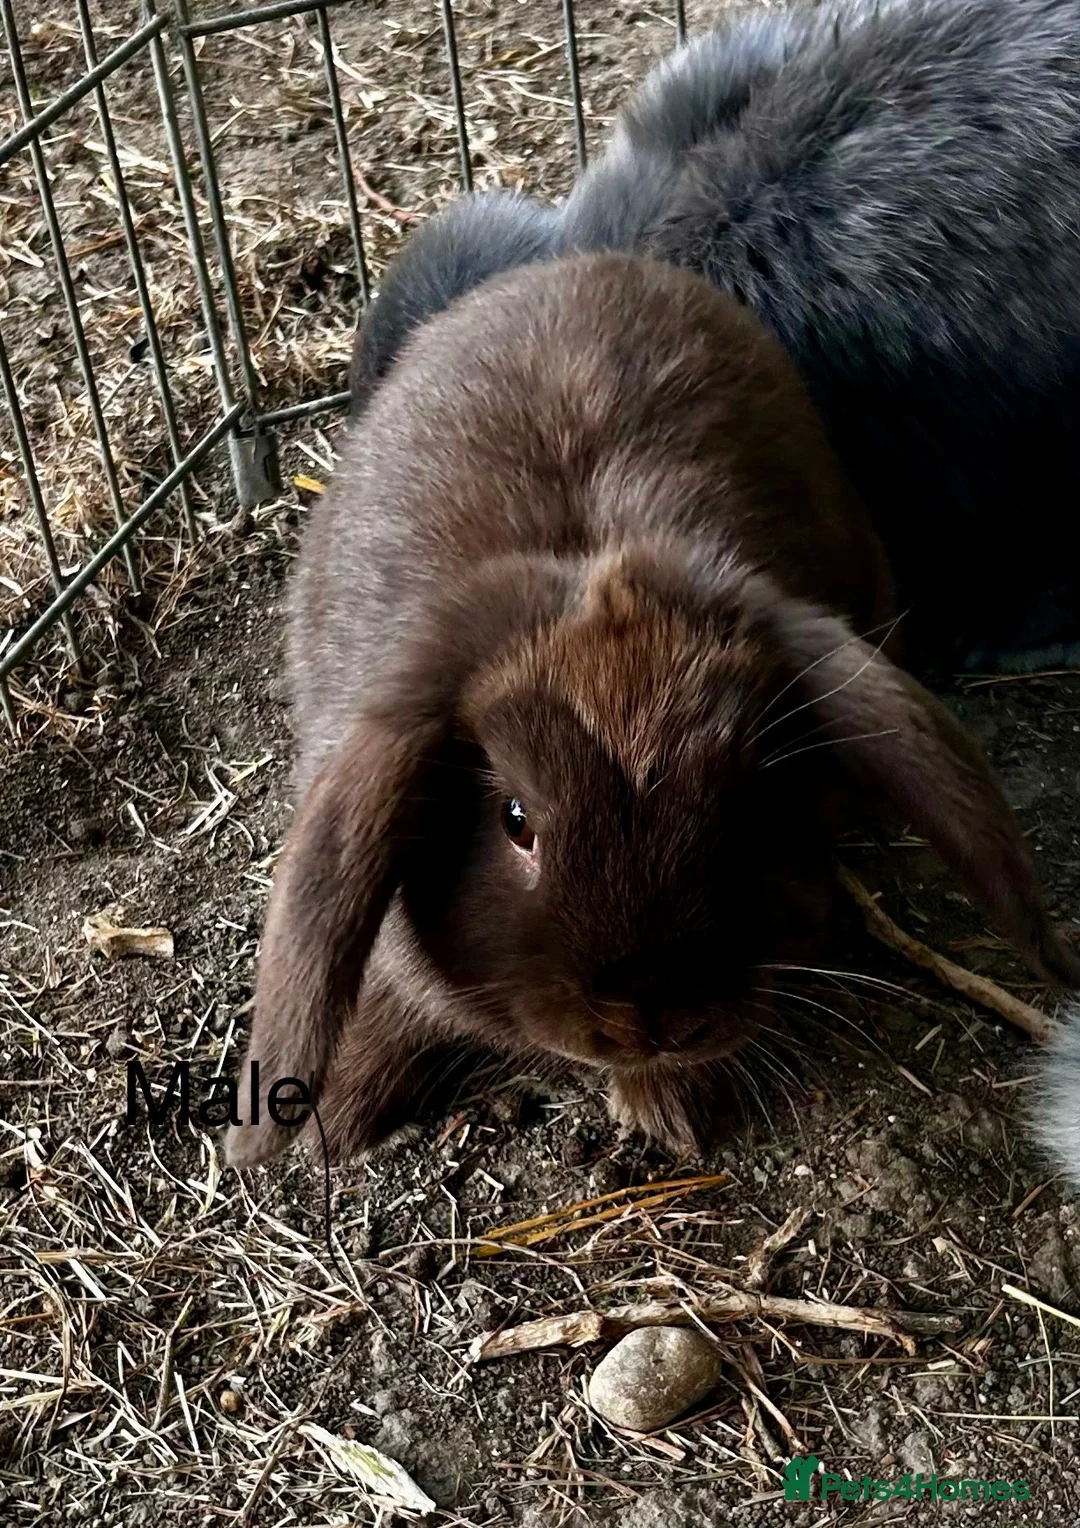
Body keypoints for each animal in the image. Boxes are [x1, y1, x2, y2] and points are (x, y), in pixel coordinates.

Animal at [224, 253, 1079, 1170]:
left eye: (753, 805)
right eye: (515, 819)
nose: (652, 1015)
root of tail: (588, 262)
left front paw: (671, 1109)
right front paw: (333, 1111)